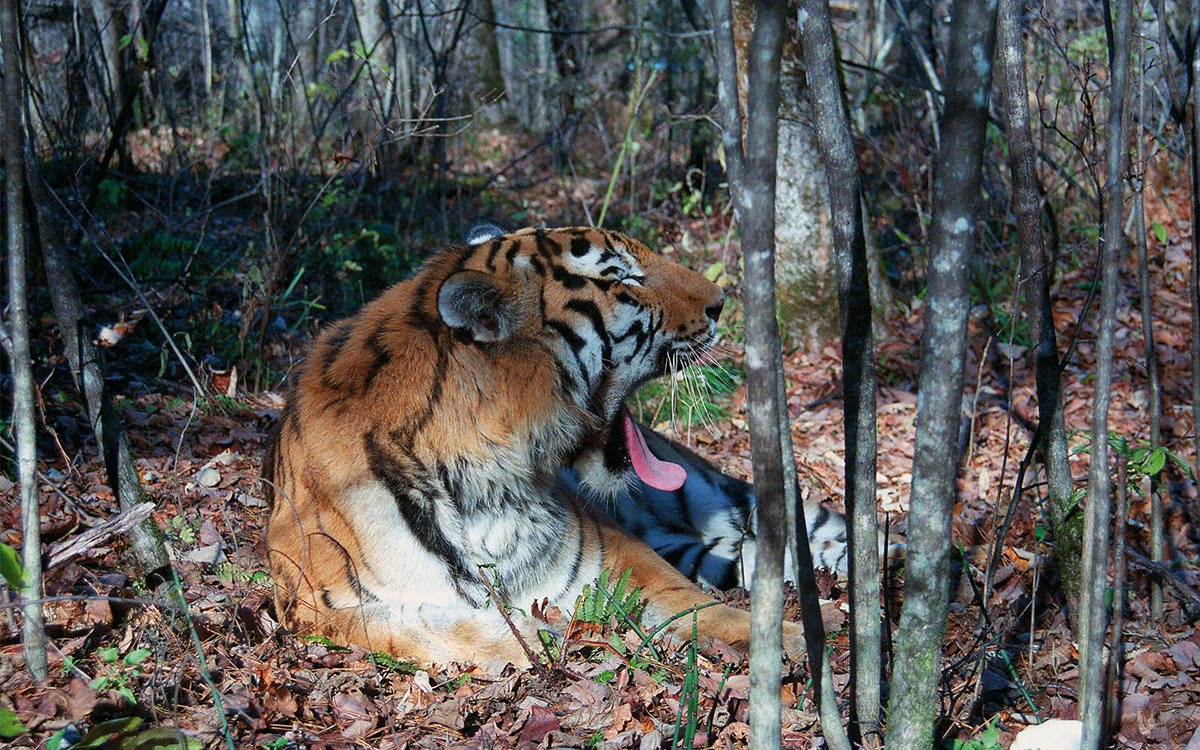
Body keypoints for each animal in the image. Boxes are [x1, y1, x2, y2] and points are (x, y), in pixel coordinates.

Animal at [262, 225, 825, 662]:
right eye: (622, 276)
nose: (721, 304)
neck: (485, 480)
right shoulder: (312, 599)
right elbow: (410, 626)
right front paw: (531, 637)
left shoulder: (610, 550)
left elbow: (689, 599)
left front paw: (787, 638)